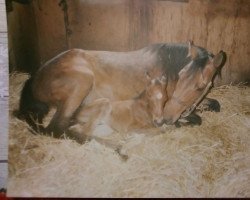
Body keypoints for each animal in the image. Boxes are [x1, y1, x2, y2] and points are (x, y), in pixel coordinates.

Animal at [16, 40, 226, 138]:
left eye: (200, 87)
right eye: (181, 75)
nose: (166, 118)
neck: (167, 66)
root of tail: (36, 76)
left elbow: (215, 104)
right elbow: (197, 118)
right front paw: (183, 121)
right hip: (81, 83)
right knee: (57, 127)